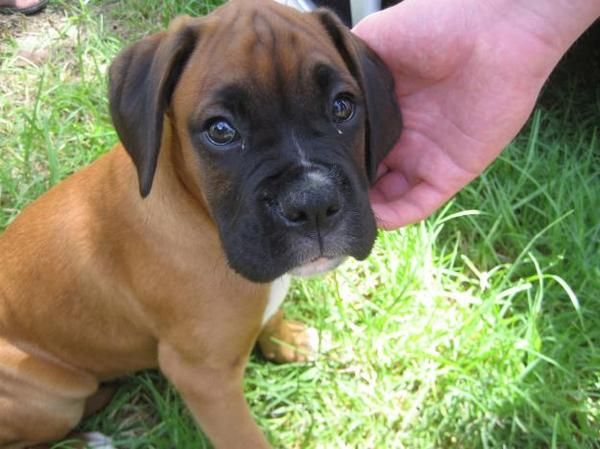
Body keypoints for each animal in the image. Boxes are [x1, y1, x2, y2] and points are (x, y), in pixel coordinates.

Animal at [1, 1, 404, 446]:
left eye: (341, 107)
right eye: (221, 130)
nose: (312, 201)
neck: (201, 216)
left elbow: (272, 315)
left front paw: (289, 339)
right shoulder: (205, 380)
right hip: (48, 397)